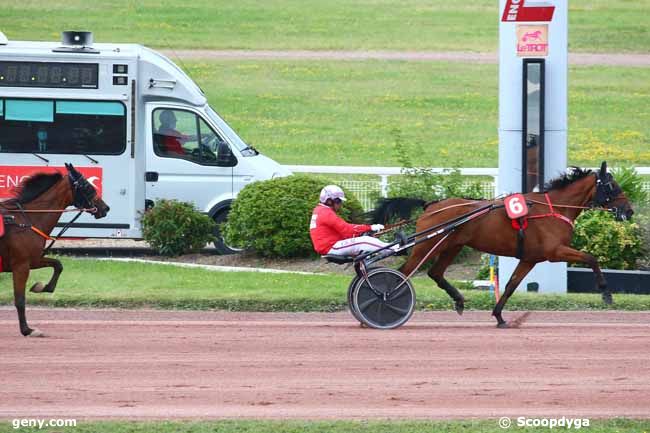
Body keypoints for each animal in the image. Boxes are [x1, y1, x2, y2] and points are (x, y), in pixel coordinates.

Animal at [0, 164, 109, 336]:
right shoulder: (20, 265)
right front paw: (27, 330)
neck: (25, 221)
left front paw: (41, 287)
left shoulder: (33, 260)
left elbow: (58, 265)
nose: (105, 208)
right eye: (87, 186)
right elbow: (20, 300)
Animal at [372, 162, 632, 328]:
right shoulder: (554, 252)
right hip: (428, 245)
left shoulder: (530, 258)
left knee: (435, 273)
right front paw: (606, 293)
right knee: (403, 273)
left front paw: (499, 317)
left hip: (452, 245)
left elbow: (511, 285)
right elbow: (591, 258)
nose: (629, 210)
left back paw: (459, 301)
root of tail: (431, 205)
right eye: (612, 186)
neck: (554, 208)